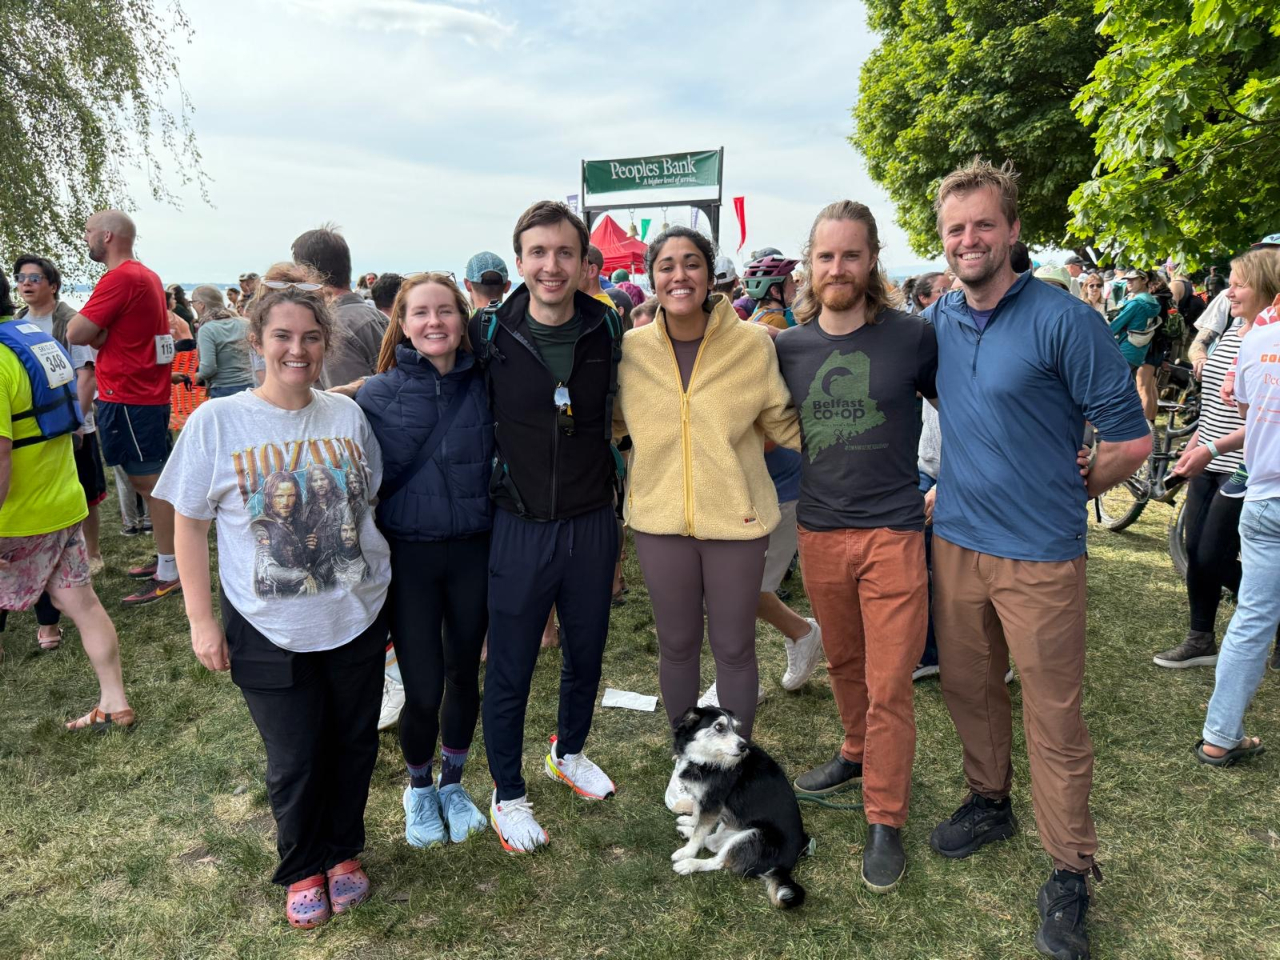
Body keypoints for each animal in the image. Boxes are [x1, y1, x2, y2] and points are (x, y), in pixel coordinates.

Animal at [668, 706, 809, 908]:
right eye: (719, 727)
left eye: (735, 728)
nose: (743, 746)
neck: (707, 760)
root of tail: (784, 867)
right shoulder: (703, 798)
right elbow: (697, 815)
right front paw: (690, 822)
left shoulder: (713, 803)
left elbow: (699, 833)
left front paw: (687, 851)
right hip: (731, 824)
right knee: (714, 843)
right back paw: (685, 831)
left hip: (752, 837)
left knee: (718, 861)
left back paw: (689, 864)